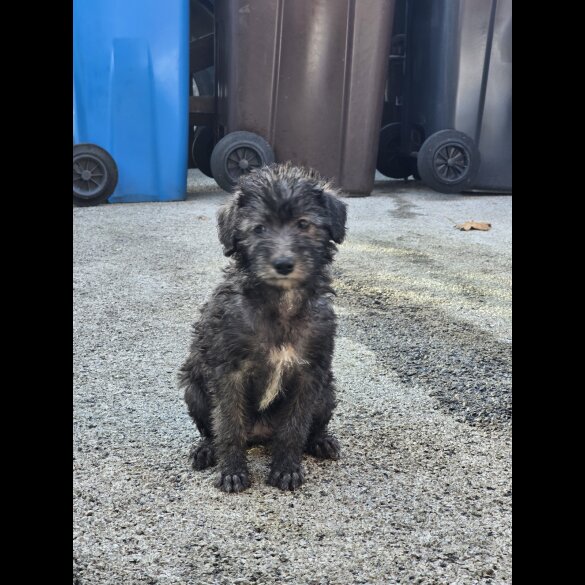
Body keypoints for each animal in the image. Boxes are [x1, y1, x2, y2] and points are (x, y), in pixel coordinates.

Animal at [176, 162, 344, 490]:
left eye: (303, 224)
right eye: (258, 228)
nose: (283, 264)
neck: (280, 304)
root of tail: (260, 434)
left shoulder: (309, 373)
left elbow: (294, 427)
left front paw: (286, 468)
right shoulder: (228, 372)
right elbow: (228, 426)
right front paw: (232, 471)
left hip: (326, 393)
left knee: (311, 427)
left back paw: (320, 441)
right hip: (194, 389)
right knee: (212, 430)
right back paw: (206, 450)